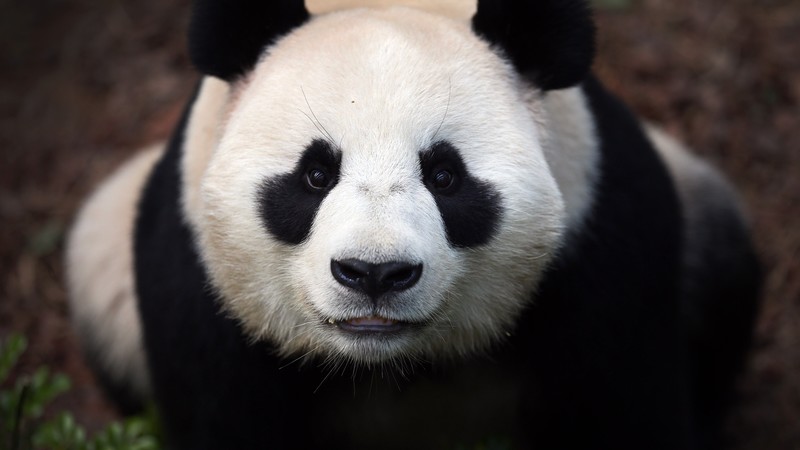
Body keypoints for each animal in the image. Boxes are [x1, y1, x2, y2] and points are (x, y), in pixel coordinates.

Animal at [65, 0, 761, 448]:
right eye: (315, 174)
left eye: (445, 176)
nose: (374, 273)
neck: (391, 363)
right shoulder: (197, 285)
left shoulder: (602, 243)